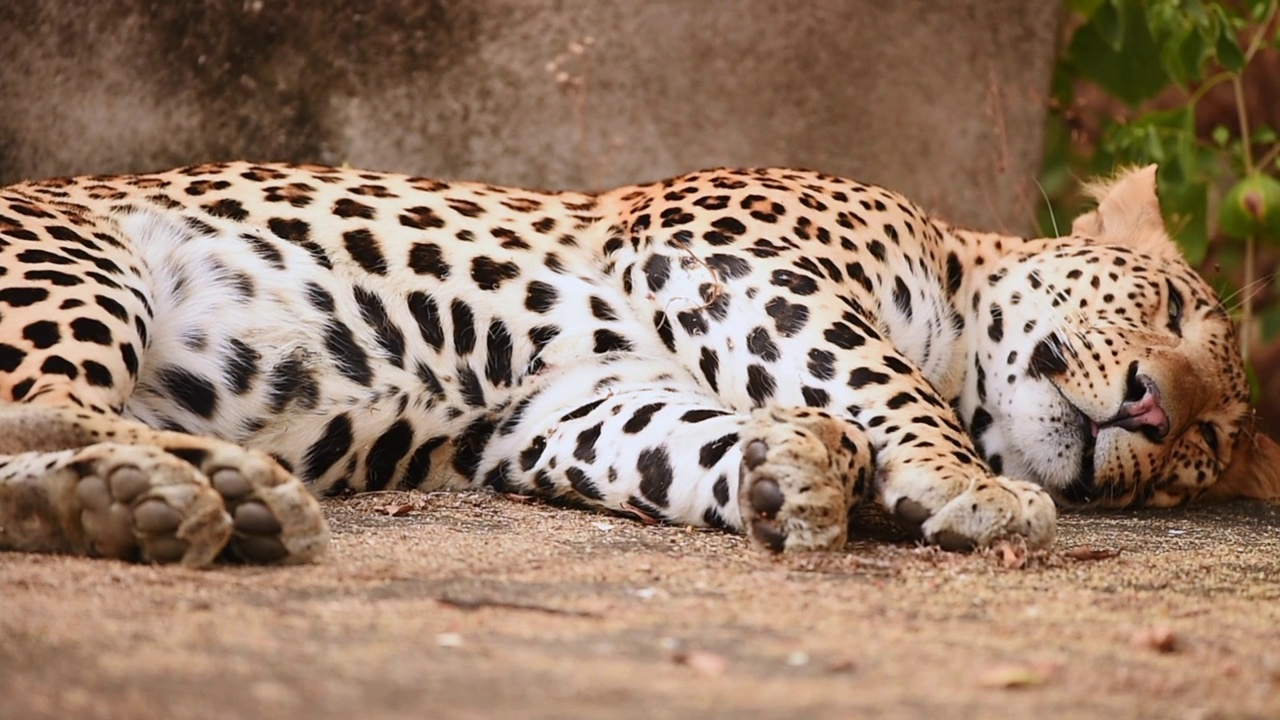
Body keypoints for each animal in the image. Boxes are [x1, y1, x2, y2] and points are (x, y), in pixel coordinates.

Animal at [2, 159, 1280, 563]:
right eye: (1169, 306)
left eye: (1208, 443)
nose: (1153, 411)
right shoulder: (724, 250)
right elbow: (880, 379)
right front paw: (963, 482)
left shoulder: (565, 410)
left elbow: (689, 441)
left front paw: (787, 474)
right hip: (83, 262)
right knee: (44, 407)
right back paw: (207, 481)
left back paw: (138, 508)